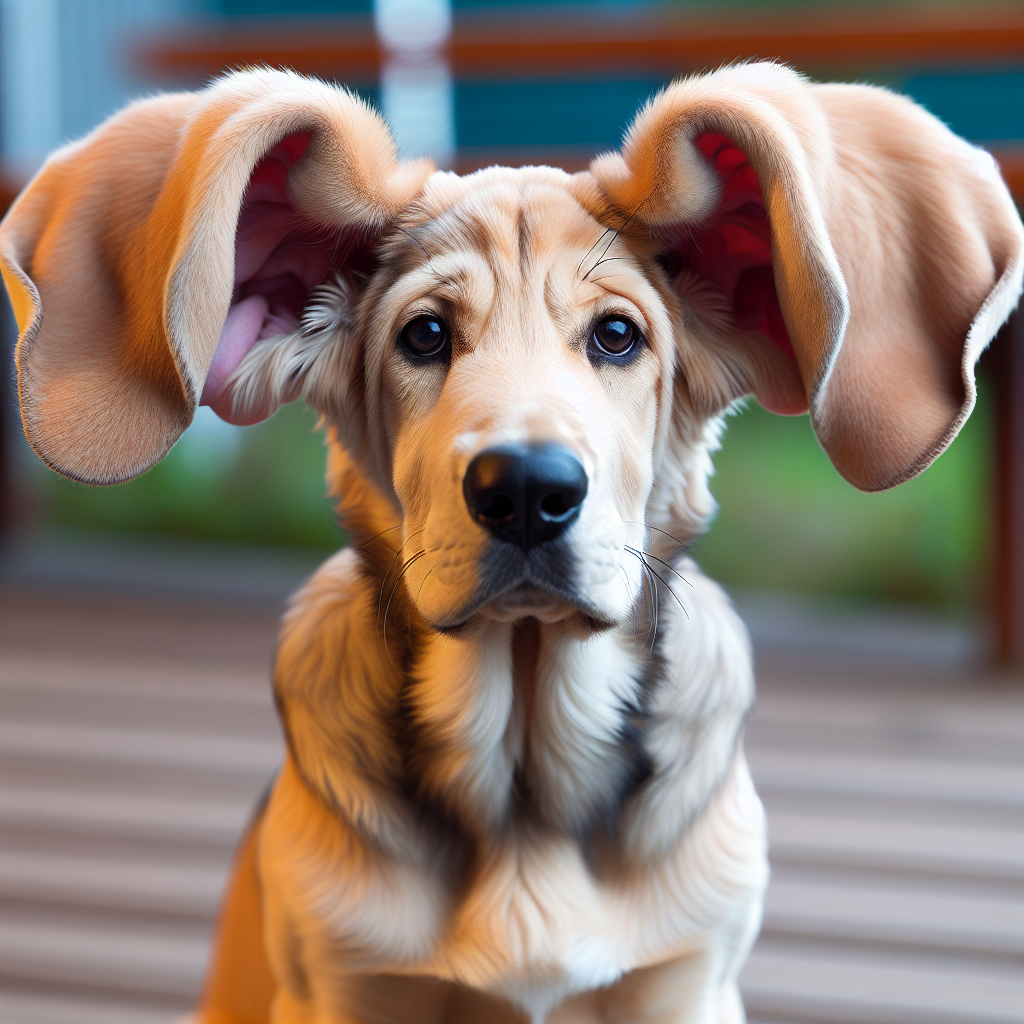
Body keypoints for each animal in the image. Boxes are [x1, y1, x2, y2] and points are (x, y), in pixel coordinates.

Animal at [0, 66, 1019, 1024]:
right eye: (424, 336)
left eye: (617, 336)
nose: (527, 491)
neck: (526, 791)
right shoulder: (340, 985)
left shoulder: (688, 983)